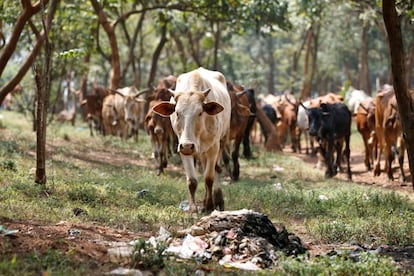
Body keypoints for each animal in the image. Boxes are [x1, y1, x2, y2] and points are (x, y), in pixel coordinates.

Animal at [152, 67, 231, 213]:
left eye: (200, 113)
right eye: (177, 113)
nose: (188, 145)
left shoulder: (213, 147)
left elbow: (209, 178)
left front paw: (209, 206)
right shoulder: (182, 148)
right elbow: (192, 181)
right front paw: (193, 208)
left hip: (222, 141)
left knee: (217, 169)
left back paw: (218, 200)